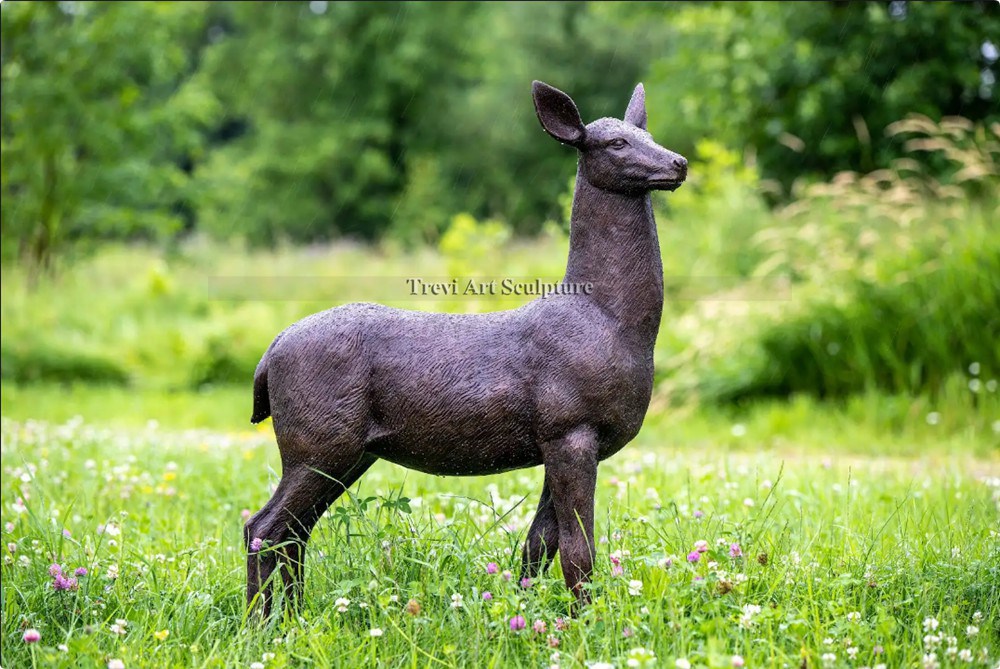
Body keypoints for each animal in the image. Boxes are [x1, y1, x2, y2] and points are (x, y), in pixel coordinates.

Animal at [245, 80, 687, 616]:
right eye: (616, 143)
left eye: (649, 134)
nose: (679, 163)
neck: (611, 321)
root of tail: (269, 355)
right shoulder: (571, 427)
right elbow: (578, 548)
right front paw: (586, 621)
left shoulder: (560, 440)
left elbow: (539, 544)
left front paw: (525, 614)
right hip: (318, 439)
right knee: (265, 527)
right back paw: (261, 623)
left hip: (344, 450)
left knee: (294, 531)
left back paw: (289, 617)